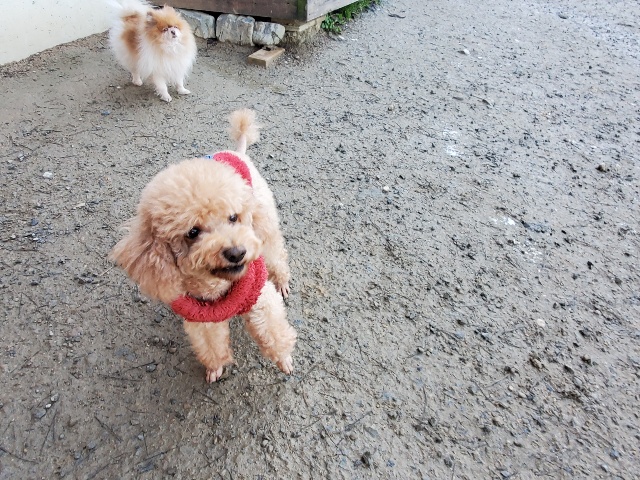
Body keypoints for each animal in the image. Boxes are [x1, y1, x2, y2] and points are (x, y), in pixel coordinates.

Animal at [111, 110, 296, 383]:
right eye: (193, 232)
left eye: (233, 217)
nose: (237, 253)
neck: (217, 285)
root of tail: (236, 152)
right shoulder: (201, 317)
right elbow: (211, 344)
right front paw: (215, 367)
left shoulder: (261, 297)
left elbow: (273, 331)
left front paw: (284, 359)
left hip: (265, 223)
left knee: (275, 253)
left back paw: (282, 280)